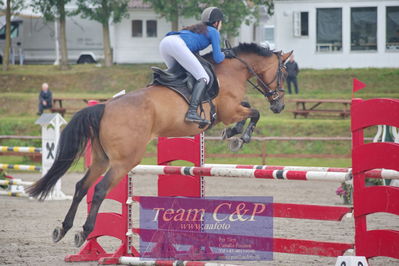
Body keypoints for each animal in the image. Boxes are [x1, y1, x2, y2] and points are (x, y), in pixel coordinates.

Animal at [26, 42, 292, 247]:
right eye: (283, 72)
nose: (280, 106)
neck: (231, 70)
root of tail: (104, 107)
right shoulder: (229, 110)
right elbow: (254, 112)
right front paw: (239, 137)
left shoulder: (230, 110)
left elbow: (248, 109)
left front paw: (233, 134)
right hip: (124, 161)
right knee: (100, 189)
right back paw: (84, 231)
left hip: (102, 159)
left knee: (82, 186)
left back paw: (63, 229)